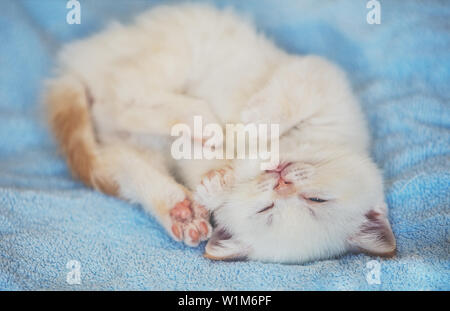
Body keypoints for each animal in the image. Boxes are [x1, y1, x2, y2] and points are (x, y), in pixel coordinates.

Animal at [45, 3, 396, 264]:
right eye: (317, 199)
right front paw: (249, 124)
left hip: (129, 138)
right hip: (178, 48)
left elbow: (207, 171)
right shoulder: (323, 81)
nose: (281, 180)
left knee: (124, 153)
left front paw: (216, 185)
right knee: (123, 95)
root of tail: (79, 64)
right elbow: (289, 97)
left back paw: (179, 210)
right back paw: (201, 119)